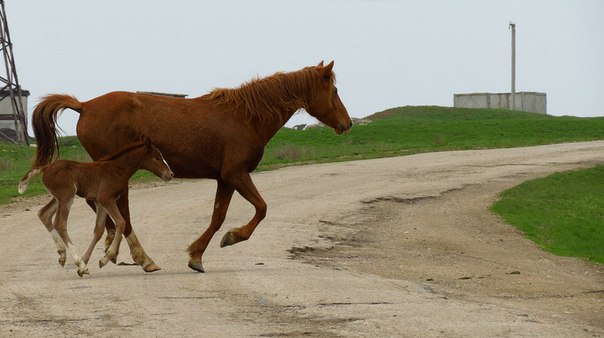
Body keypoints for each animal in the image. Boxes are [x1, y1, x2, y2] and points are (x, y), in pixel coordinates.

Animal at [18, 137, 172, 278]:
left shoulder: (100, 203)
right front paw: (103, 259)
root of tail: (46, 168)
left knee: (43, 214)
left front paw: (84, 263)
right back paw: (78, 262)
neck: (117, 169)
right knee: (60, 223)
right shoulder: (106, 199)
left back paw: (63, 255)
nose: (170, 174)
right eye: (157, 158)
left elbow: (98, 230)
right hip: (66, 196)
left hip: (57, 198)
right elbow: (121, 222)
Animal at [30, 60, 352, 272]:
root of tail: (84, 105)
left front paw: (197, 255)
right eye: (334, 90)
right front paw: (232, 238)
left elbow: (218, 217)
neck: (245, 117)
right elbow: (261, 208)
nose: (346, 124)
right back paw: (136, 257)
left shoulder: (225, 179)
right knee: (118, 215)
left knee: (105, 213)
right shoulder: (237, 174)